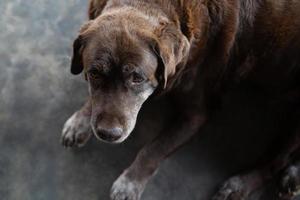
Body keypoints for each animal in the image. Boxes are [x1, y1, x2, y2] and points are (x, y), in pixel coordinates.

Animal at [60, 0, 300, 200]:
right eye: (94, 73)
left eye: (137, 78)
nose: (108, 134)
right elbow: (95, 100)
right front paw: (80, 120)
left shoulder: (197, 114)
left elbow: (154, 148)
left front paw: (129, 183)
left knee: (278, 160)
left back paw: (241, 185)